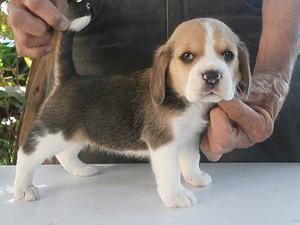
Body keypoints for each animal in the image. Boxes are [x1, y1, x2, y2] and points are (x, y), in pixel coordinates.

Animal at [12, 2, 250, 209]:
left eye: (228, 55)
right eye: (187, 56)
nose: (212, 76)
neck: (185, 100)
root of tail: (69, 78)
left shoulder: (189, 138)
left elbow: (191, 160)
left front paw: (195, 177)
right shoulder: (163, 142)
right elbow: (170, 172)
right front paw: (176, 195)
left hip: (76, 134)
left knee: (65, 154)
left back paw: (82, 169)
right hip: (51, 132)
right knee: (26, 154)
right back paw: (23, 188)